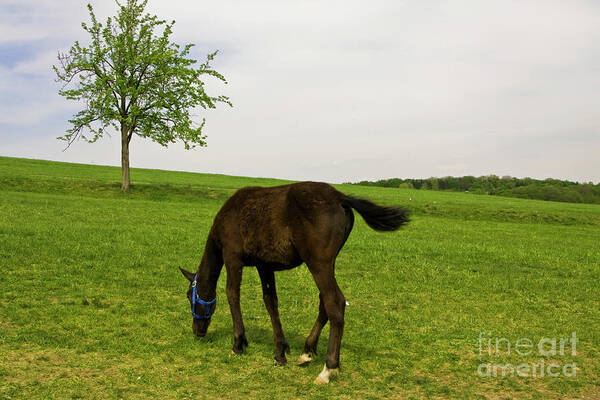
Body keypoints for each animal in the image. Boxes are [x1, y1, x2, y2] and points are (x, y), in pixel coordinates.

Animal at [180, 181, 410, 384]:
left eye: (189, 296)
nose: (197, 331)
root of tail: (341, 198)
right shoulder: (265, 265)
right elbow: (271, 302)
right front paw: (280, 352)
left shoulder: (232, 257)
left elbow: (232, 294)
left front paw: (238, 344)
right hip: (327, 263)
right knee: (324, 301)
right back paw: (307, 351)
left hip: (318, 263)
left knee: (334, 301)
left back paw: (328, 369)